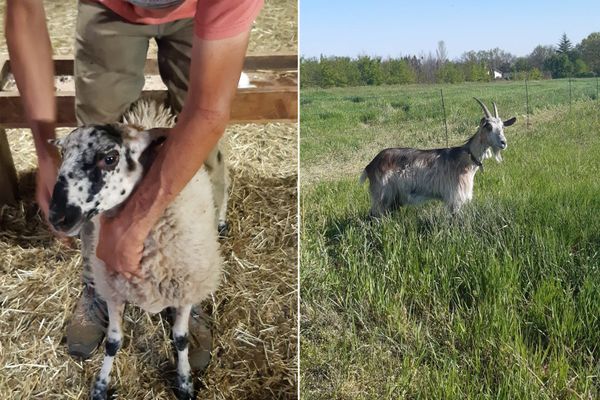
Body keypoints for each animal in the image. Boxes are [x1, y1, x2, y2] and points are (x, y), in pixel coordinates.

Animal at [46, 102, 220, 396]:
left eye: (110, 158)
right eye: (62, 155)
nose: (57, 217)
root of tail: (147, 119)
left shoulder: (186, 289)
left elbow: (181, 338)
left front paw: (185, 382)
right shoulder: (113, 291)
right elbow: (113, 342)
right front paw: (100, 387)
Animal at [360, 97, 516, 216]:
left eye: (503, 126)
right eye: (488, 127)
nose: (503, 143)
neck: (467, 158)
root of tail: (371, 164)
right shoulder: (454, 197)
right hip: (382, 194)